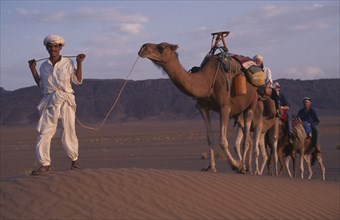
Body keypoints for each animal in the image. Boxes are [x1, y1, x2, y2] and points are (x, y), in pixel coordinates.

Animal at [138, 42, 258, 172]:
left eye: (162, 47)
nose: (143, 48)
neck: (207, 81)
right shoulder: (202, 108)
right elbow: (210, 138)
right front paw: (211, 167)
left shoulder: (225, 106)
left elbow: (222, 140)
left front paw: (235, 164)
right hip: (238, 113)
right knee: (249, 139)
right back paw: (247, 167)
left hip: (252, 104)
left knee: (246, 139)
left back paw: (244, 167)